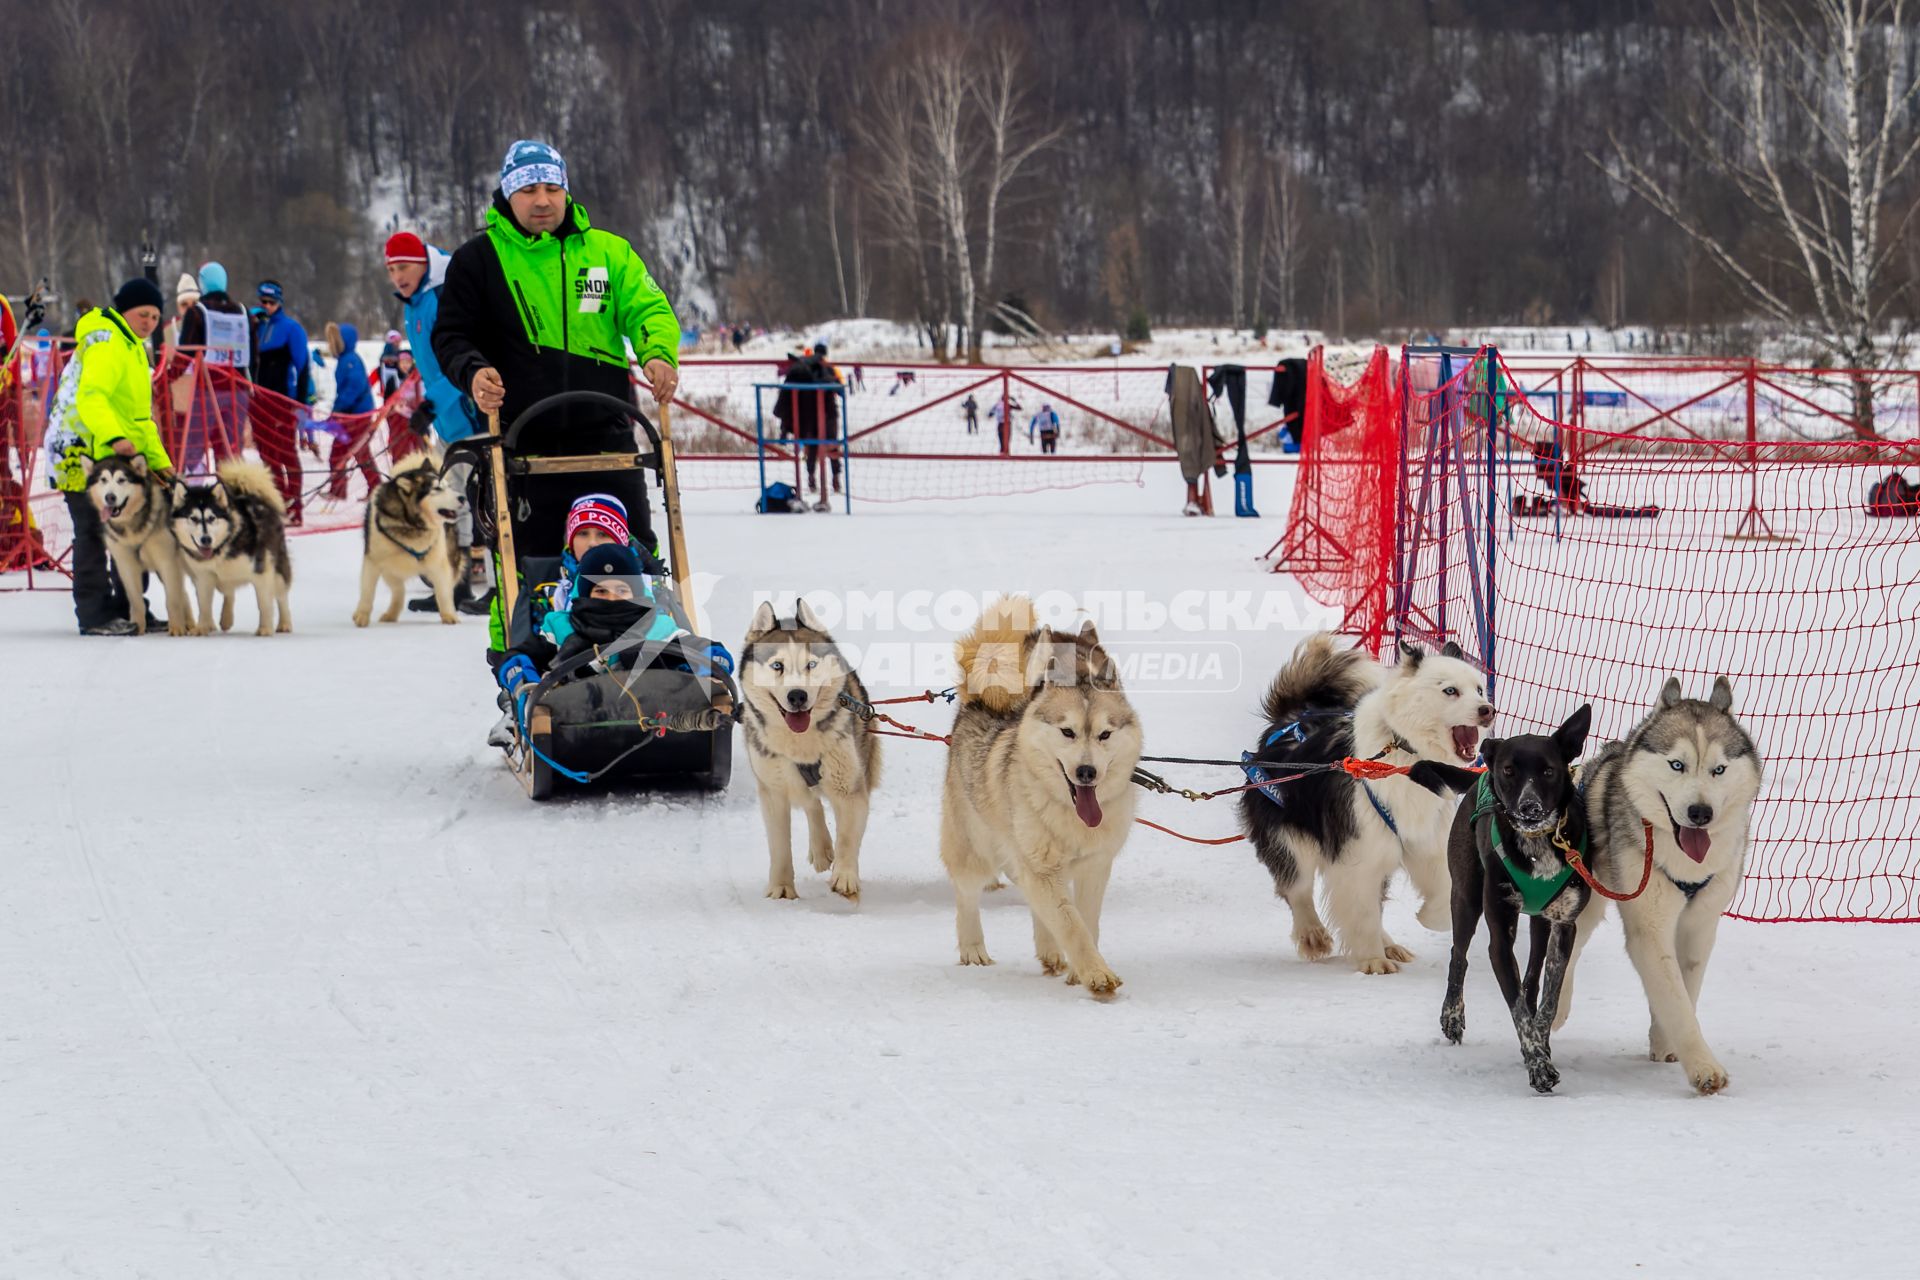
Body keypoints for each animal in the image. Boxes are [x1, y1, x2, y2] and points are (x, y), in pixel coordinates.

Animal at [1420, 706, 1597, 1097]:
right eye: (1509, 770)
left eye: (1548, 770)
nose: (1529, 807)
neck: (1538, 842)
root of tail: (1478, 776)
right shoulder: (1499, 937)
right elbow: (1517, 1009)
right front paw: (1539, 1067)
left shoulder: (1565, 927)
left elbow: (1547, 999)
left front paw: (1542, 1048)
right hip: (1466, 897)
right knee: (1458, 955)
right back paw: (1451, 1016)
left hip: (1540, 922)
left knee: (1532, 975)